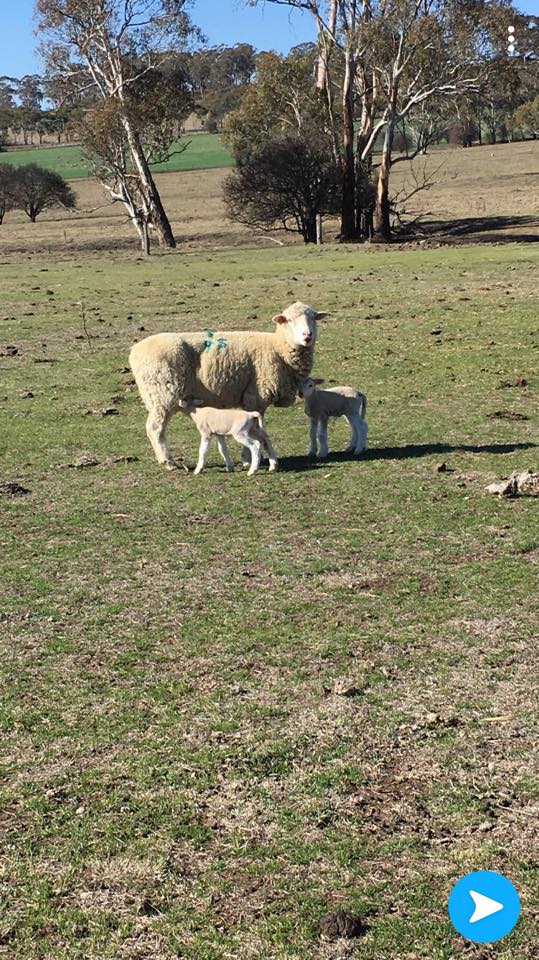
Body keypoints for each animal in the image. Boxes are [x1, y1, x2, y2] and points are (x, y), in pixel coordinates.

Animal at [129, 302, 328, 470]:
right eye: (289, 320)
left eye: (313, 318)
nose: (307, 336)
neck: (278, 348)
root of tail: (134, 351)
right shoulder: (256, 396)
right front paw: (249, 458)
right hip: (162, 394)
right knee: (155, 428)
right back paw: (168, 462)